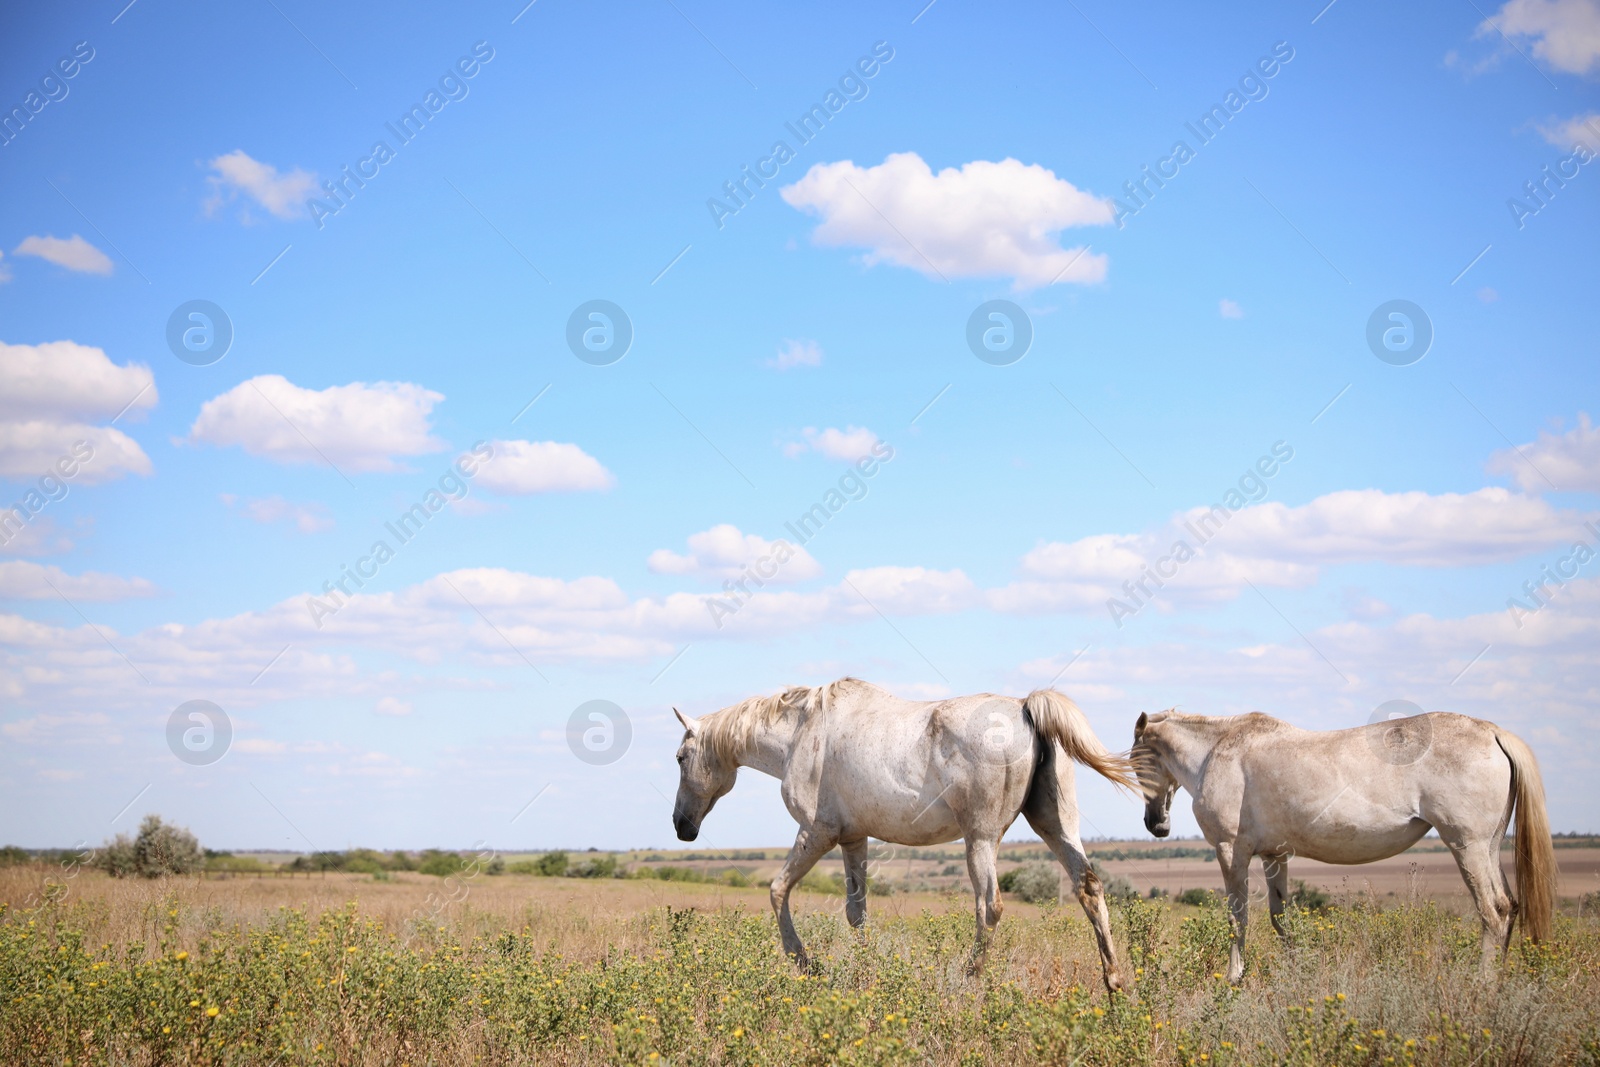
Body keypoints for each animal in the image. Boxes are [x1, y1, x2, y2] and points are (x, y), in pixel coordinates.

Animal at [668, 681, 1145, 991]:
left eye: (680, 757)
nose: (680, 826)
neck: (801, 735)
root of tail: (1025, 707)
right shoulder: (853, 840)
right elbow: (856, 913)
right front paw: (864, 973)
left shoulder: (816, 833)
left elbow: (777, 890)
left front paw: (804, 963)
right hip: (1055, 826)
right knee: (1089, 887)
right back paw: (1115, 984)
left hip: (980, 839)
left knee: (989, 906)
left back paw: (968, 981)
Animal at [1132, 713, 1555, 979]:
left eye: (1136, 763)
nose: (1155, 824)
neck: (1217, 750)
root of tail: (1494, 733)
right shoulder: (1275, 856)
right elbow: (1281, 919)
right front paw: (1294, 974)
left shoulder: (1229, 850)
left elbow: (1239, 918)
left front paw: (1233, 977)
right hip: (1489, 847)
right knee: (1509, 907)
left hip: (1467, 847)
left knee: (1494, 911)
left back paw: (1483, 985)